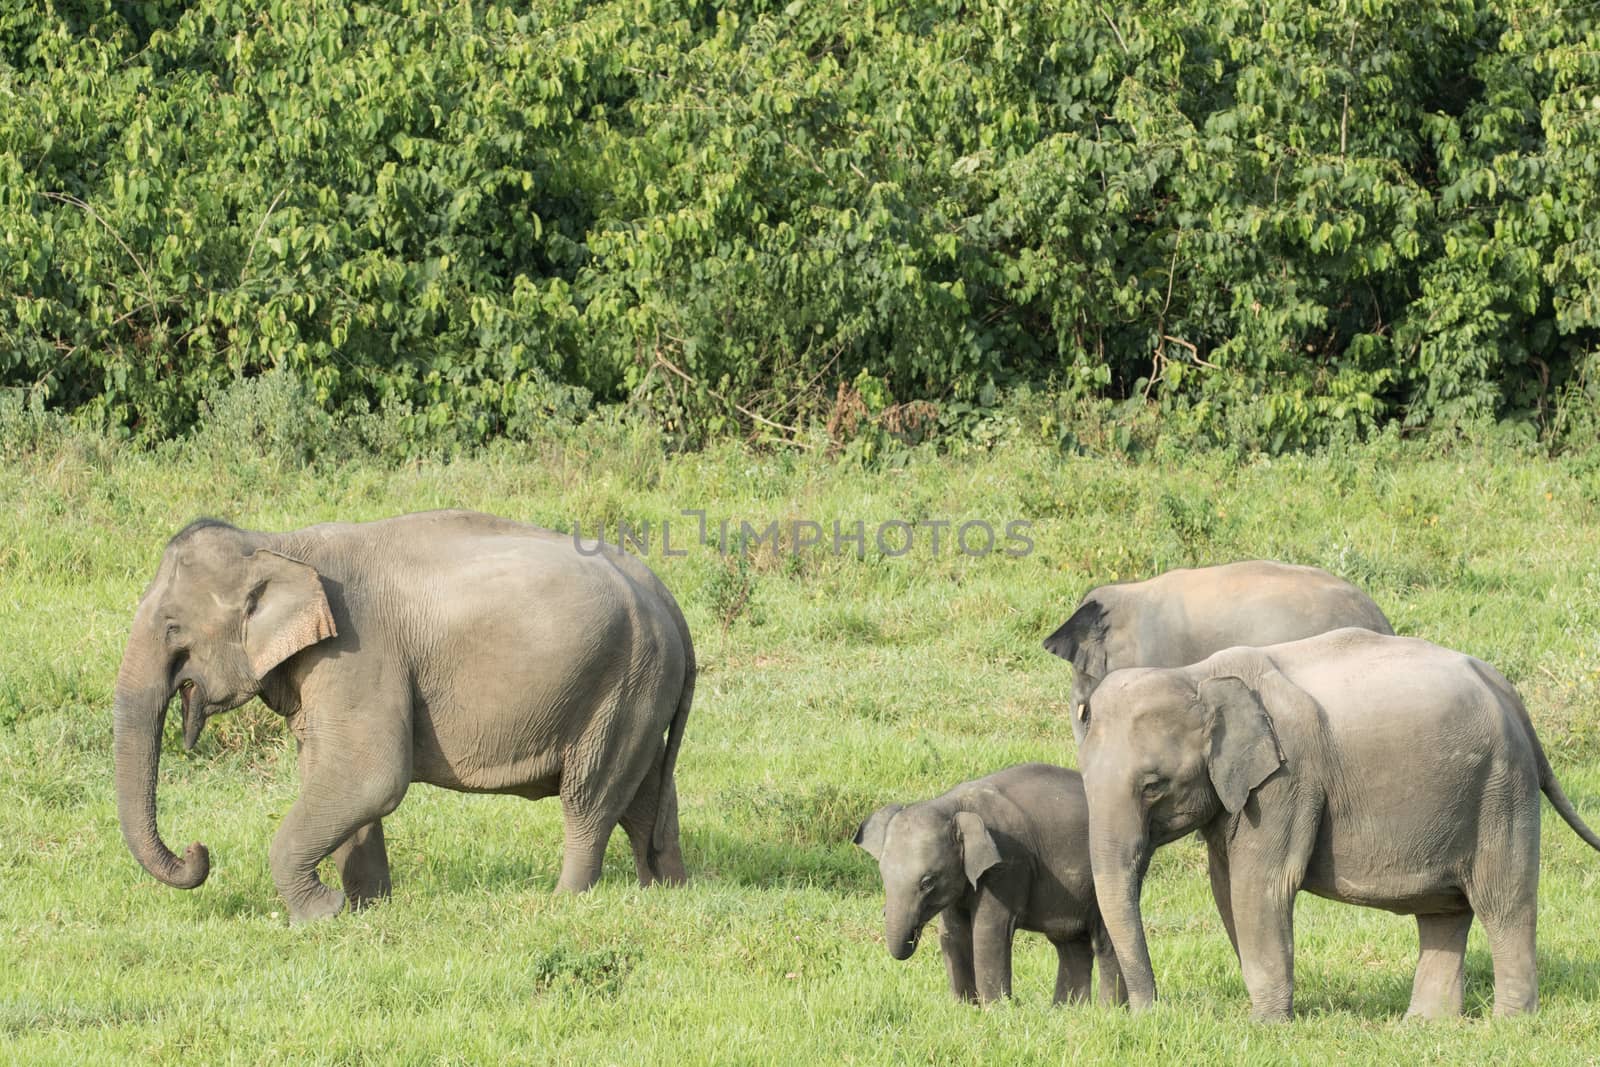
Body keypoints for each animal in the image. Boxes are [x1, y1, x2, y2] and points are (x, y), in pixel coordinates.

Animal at [112, 508, 688, 921]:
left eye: (172, 628)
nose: (198, 850)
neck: (278, 543)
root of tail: (667, 597)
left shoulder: (357, 651)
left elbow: (371, 776)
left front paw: (321, 915)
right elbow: (329, 774)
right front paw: (365, 910)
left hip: (621, 683)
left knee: (589, 798)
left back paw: (563, 904)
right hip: (639, 690)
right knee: (643, 796)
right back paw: (669, 892)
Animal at [851, 764, 1126, 1004]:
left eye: (927, 882)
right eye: (883, 875)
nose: (914, 932)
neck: (953, 805)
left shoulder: (1007, 864)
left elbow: (989, 931)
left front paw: (995, 1008)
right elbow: (953, 932)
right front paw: (963, 1006)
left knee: (1106, 942)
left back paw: (1107, 1011)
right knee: (1070, 944)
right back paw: (1067, 1010)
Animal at [1075, 630, 1600, 1023]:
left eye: (1153, 786)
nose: (1146, 1013)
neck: (1198, 674)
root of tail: (1508, 692)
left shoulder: (1286, 781)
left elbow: (1260, 886)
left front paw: (1266, 1026)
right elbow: (1226, 889)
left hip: (1501, 789)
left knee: (1503, 901)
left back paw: (1508, 1023)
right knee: (1444, 909)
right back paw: (1424, 1026)